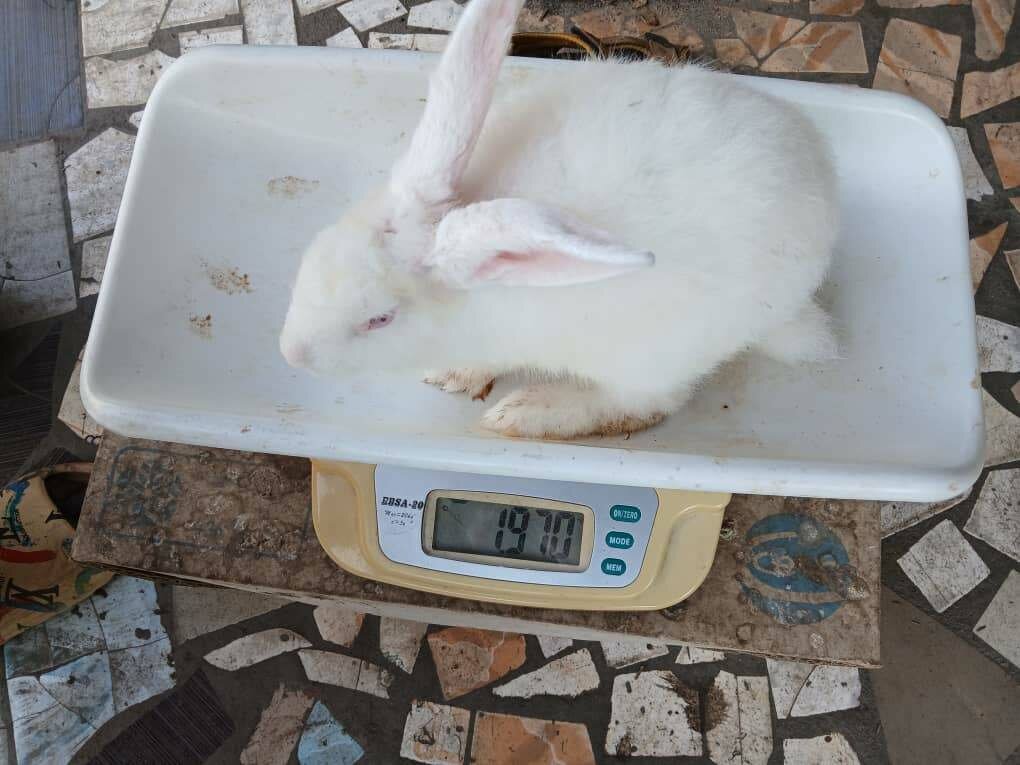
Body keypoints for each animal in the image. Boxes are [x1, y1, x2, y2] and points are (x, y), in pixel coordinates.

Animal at [279, 0, 839, 440]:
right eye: (313, 253)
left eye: (380, 319)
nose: (291, 353)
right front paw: (452, 375)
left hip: (652, 356)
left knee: (645, 405)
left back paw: (525, 413)